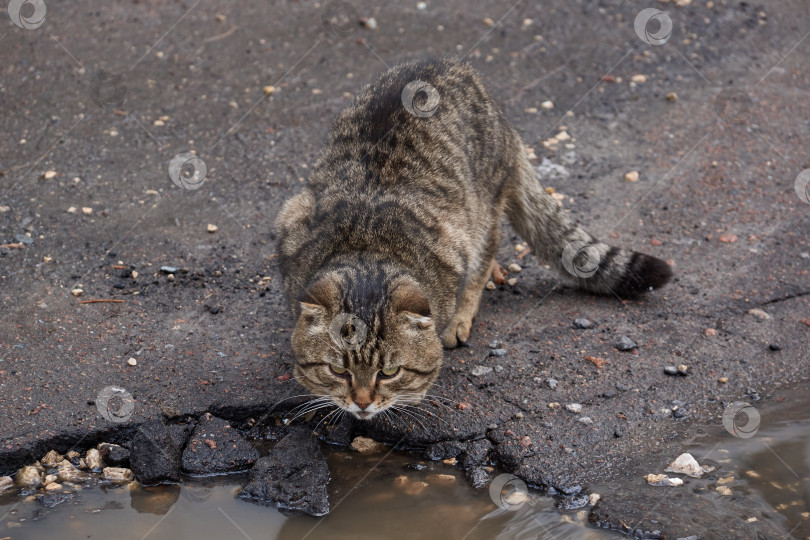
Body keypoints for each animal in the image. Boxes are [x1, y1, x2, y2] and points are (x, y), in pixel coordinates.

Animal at [274, 60, 664, 422]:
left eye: (389, 372)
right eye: (338, 370)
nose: (362, 403)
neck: (368, 247)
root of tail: (456, 66)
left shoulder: (453, 239)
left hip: (481, 209)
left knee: (485, 257)